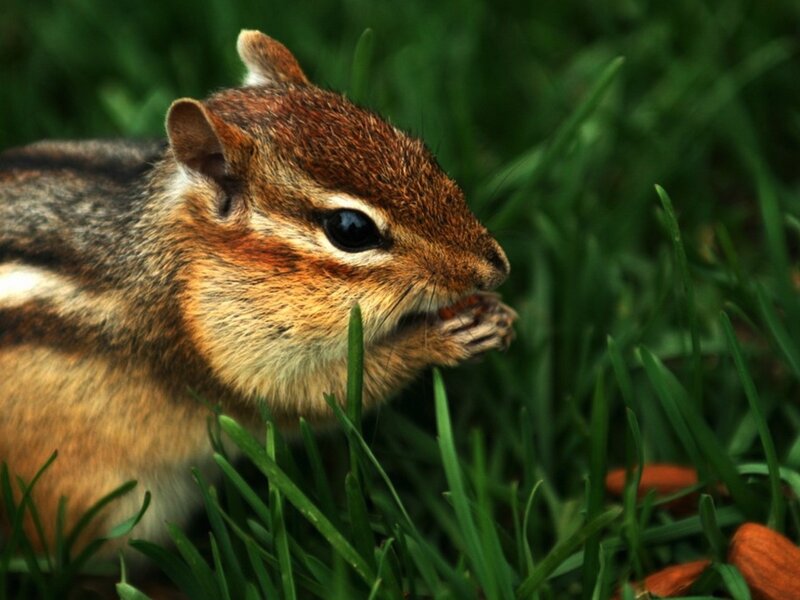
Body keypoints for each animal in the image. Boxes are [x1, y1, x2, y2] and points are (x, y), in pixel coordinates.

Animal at [0, 30, 515, 558]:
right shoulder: (237, 359)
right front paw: (439, 340)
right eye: (350, 229)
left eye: (418, 150)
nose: (495, 268)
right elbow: (324, 395)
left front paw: (497, 315)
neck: (181, 265)